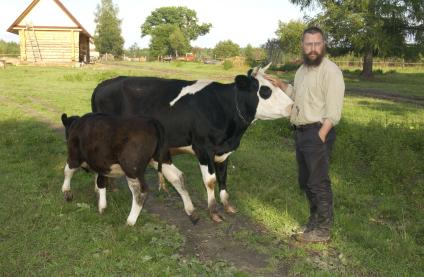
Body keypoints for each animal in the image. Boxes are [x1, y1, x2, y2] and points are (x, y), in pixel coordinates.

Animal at [91, 63, 294, 222]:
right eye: (265, 90)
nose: (293, 106)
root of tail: (103, 84)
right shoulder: (203, 148)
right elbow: (210, 181)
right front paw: (213, 211)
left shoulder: (223, 152)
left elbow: (223, 177)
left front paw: (227, 205)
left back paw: (109, 187)